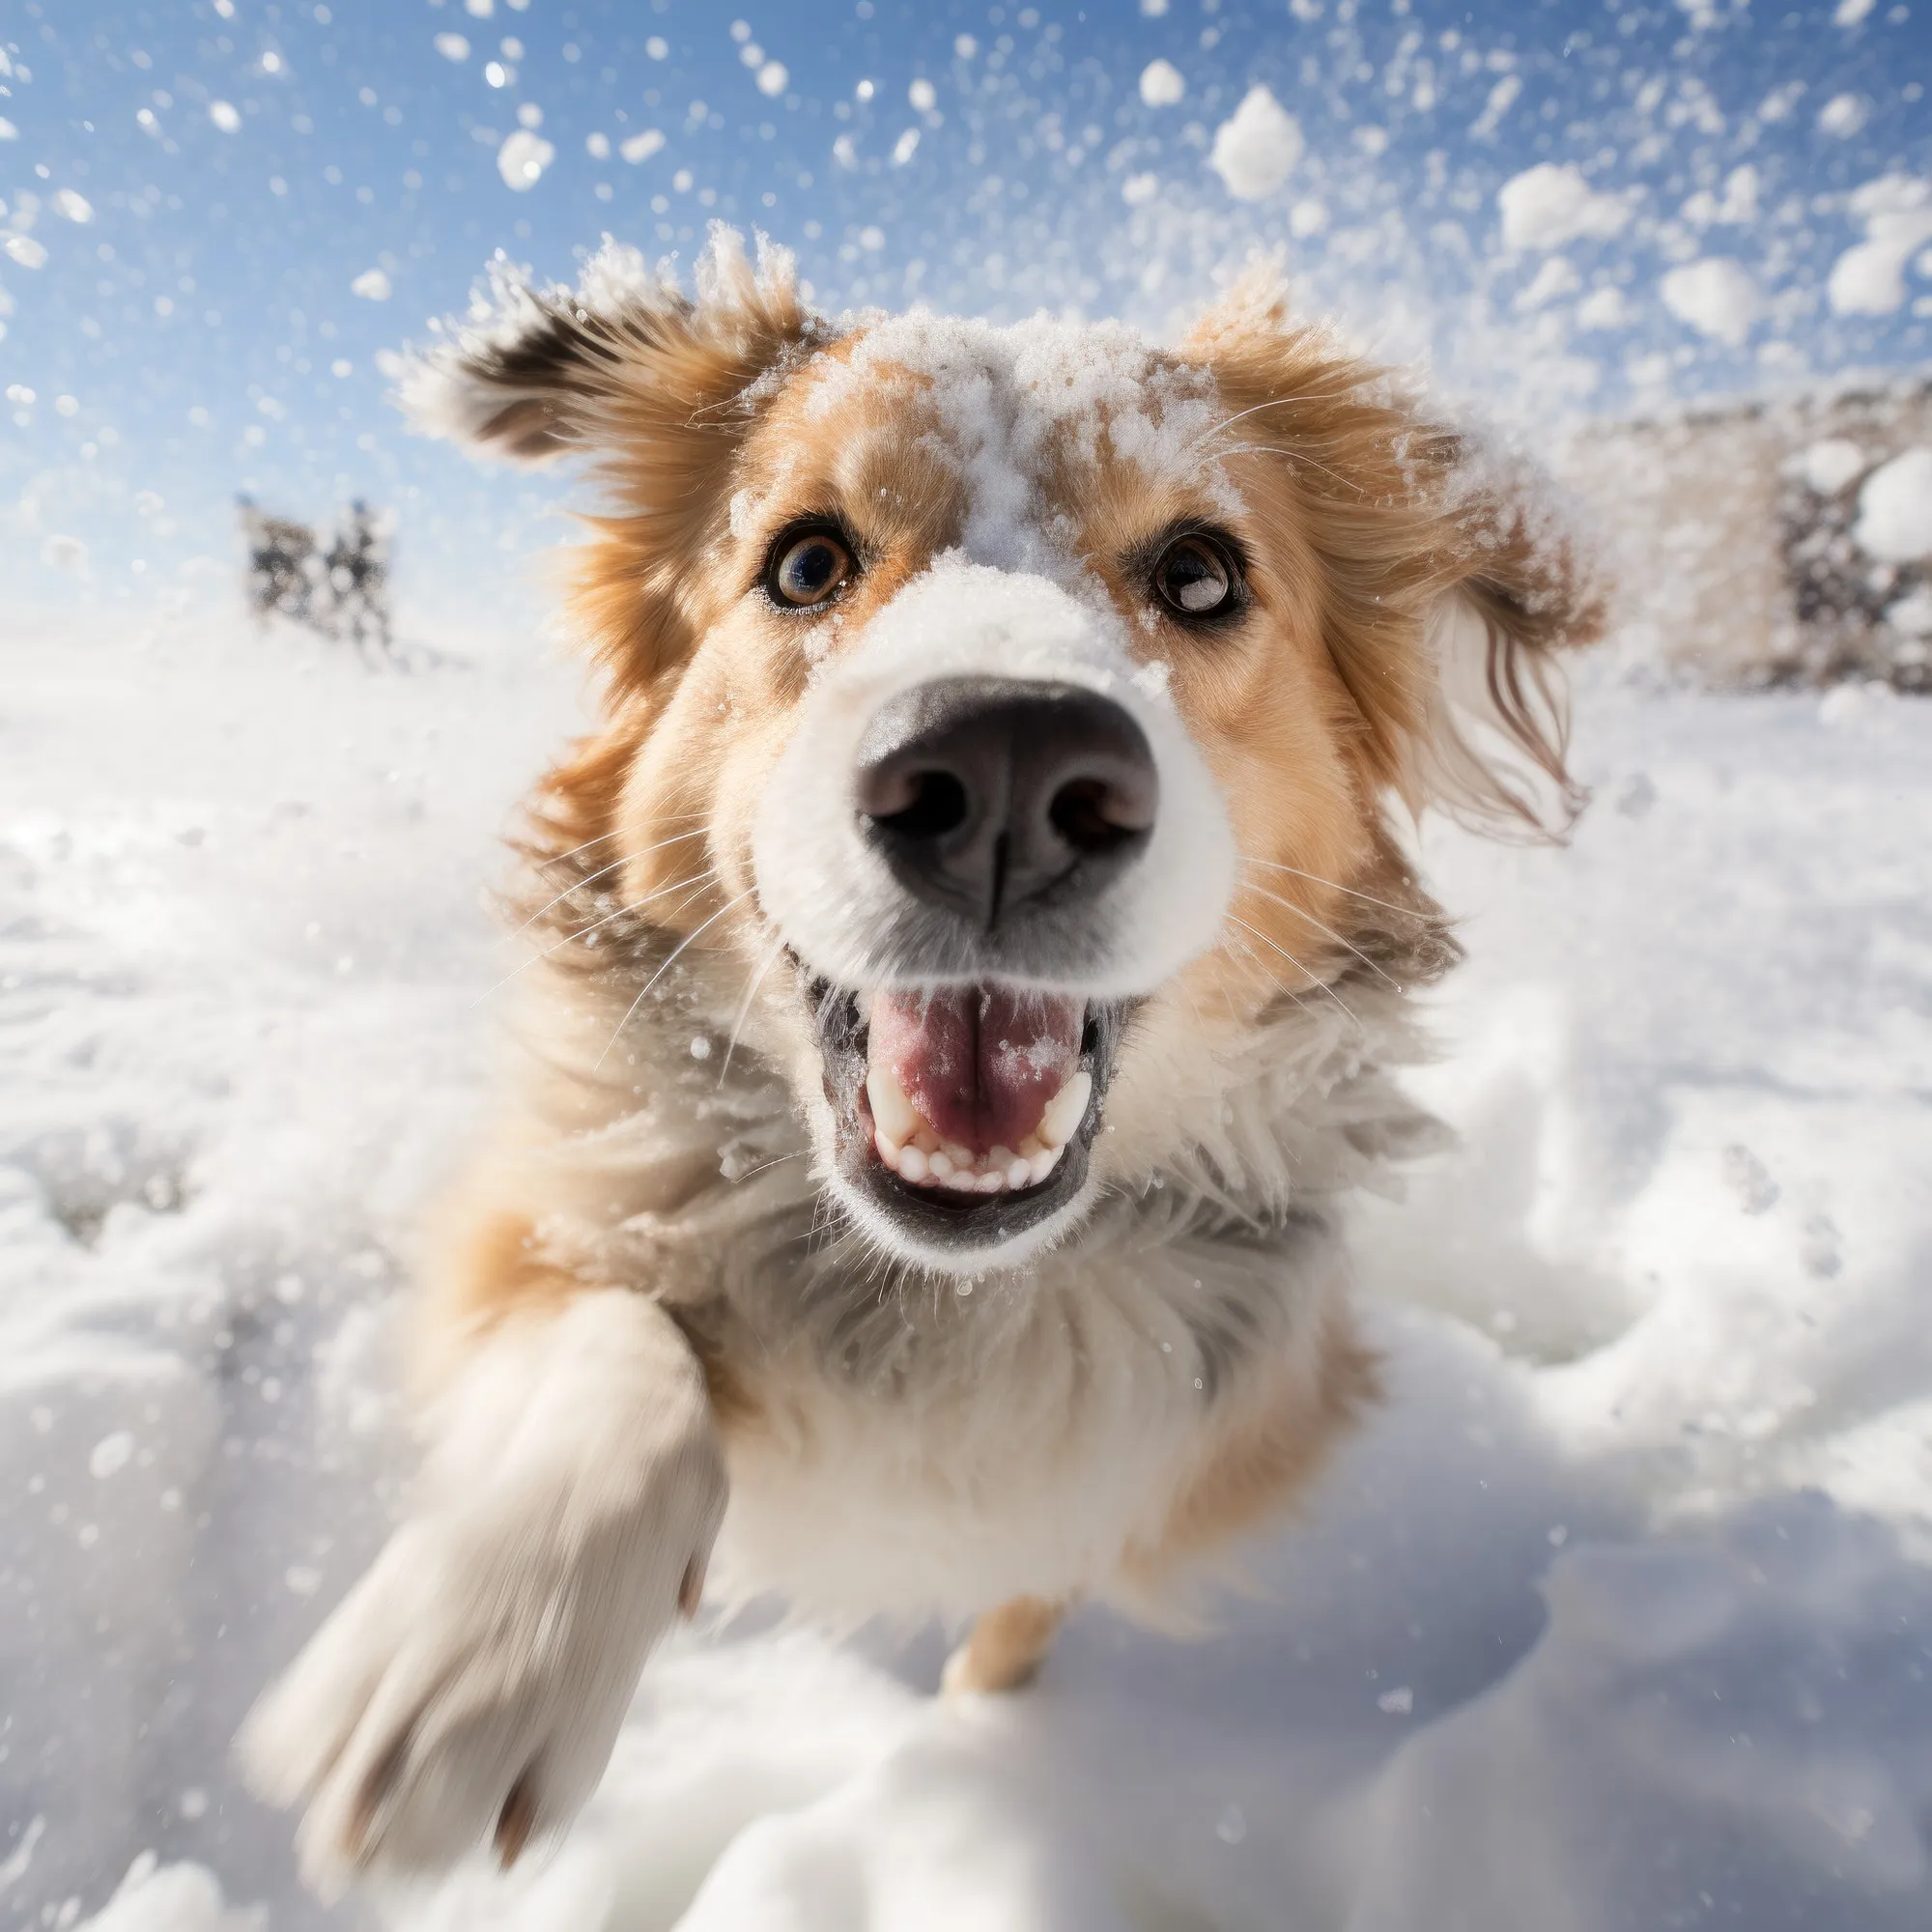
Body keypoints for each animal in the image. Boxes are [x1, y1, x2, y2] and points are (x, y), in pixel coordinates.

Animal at [242, 222, 1600, 1886]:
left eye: (1201, 573)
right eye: (806, 562)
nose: (1007, 773)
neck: (935, 1298)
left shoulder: (1167, 1449)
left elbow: (1027, 1599)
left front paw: (982, 1746)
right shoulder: (536, 1227)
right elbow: (628, 1355)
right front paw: (486, 1653)